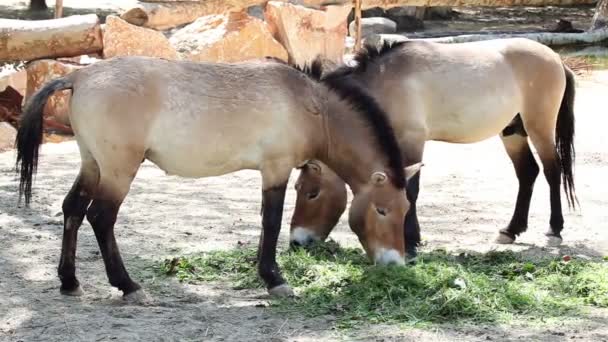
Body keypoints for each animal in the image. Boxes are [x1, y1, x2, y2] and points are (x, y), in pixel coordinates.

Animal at [16, 55, 420, 300]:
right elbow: (272, 223)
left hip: (93, 165)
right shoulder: (275, 169)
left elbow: (264, 223)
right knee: (100, 217)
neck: (309, 104)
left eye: (405, 210)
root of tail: (80, 75)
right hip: (117, 171)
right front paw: (275, 280)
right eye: (382, 210)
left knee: (72, 209)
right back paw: (128, 286)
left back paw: (70, 281)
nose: (395, 264)